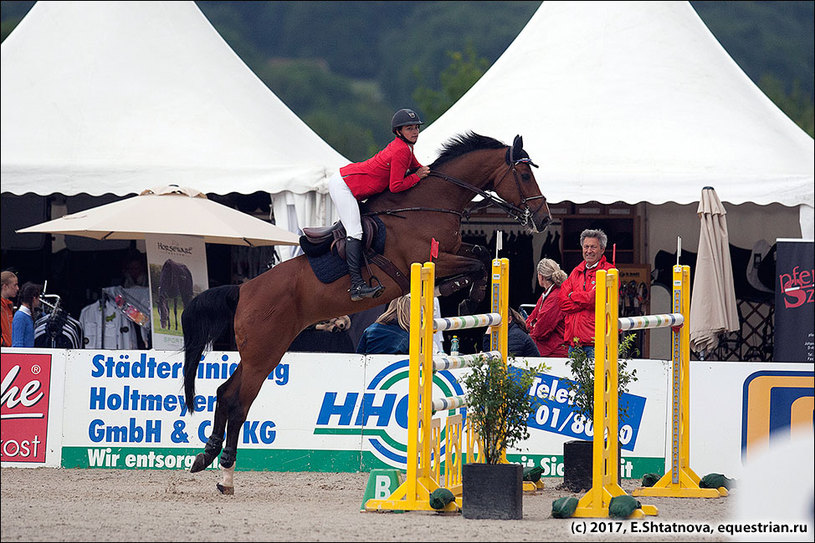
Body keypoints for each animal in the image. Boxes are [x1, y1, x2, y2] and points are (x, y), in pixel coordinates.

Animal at [183, 132, 556, 492]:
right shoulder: (429, 259)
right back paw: (225, 473)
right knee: (239, 403)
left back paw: (208, 458)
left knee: (224, 393)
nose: (544, 219)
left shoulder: (452, 250)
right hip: (264, 354)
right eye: (525, 175)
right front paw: (467, 295)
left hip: (261, 353)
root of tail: (243, 290)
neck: (430, 204)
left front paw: (465, 293)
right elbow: (477, 260)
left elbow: (479, 253)